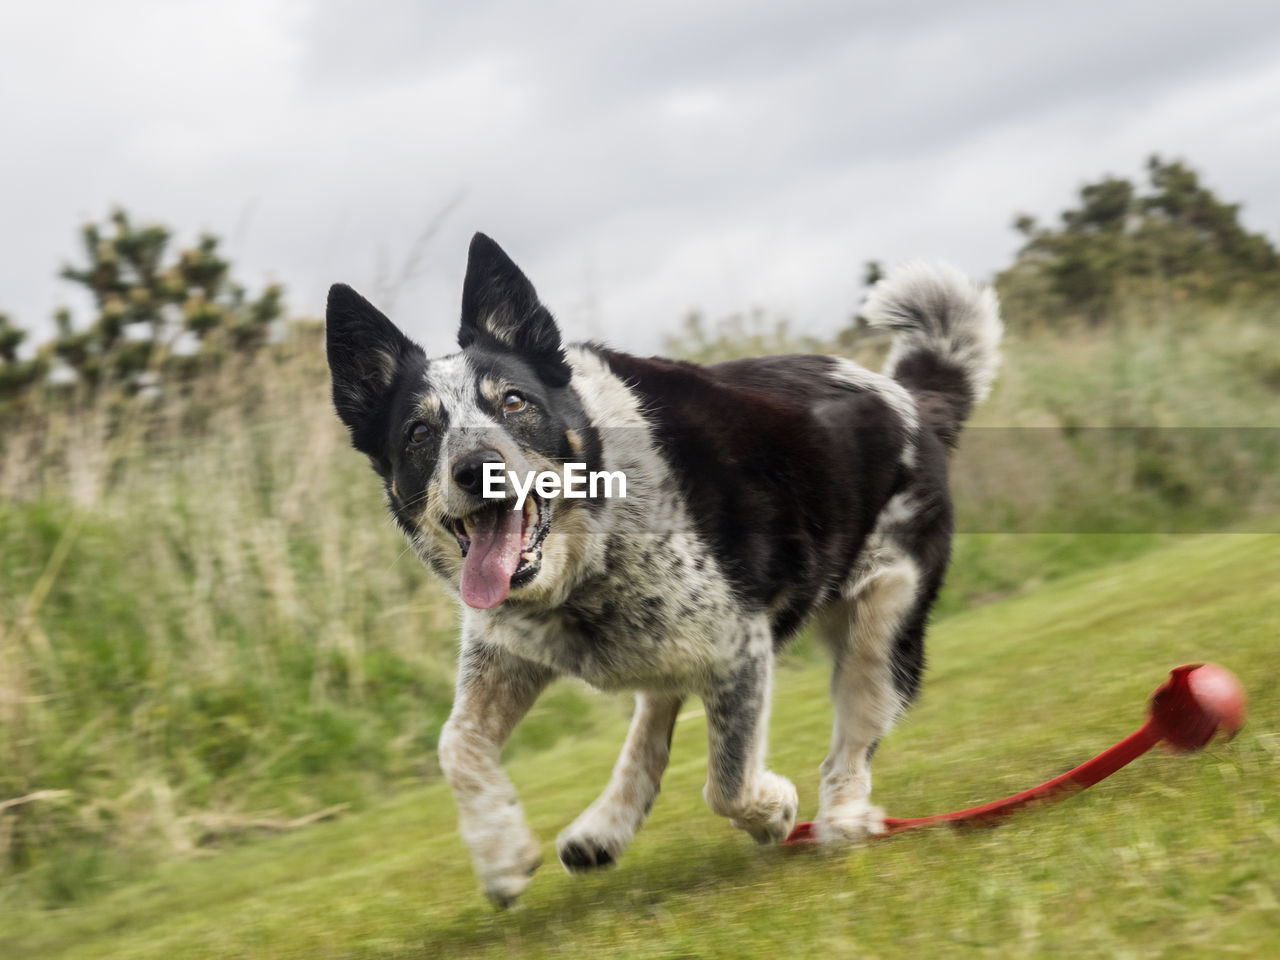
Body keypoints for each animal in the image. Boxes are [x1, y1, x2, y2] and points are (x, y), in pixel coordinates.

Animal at [322, 235, 998, 911]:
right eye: (419, 432)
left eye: (513, 402)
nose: (475, 467)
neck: (589, 556)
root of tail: (907, 397)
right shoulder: (508, 650)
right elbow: (456, 743)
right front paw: (500, 854)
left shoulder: (739, 649)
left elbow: (727, 782)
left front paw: (775, 809)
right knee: (655, 708)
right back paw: (604, 827)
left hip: (880, 630)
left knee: (846, 748)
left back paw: (844, 822)